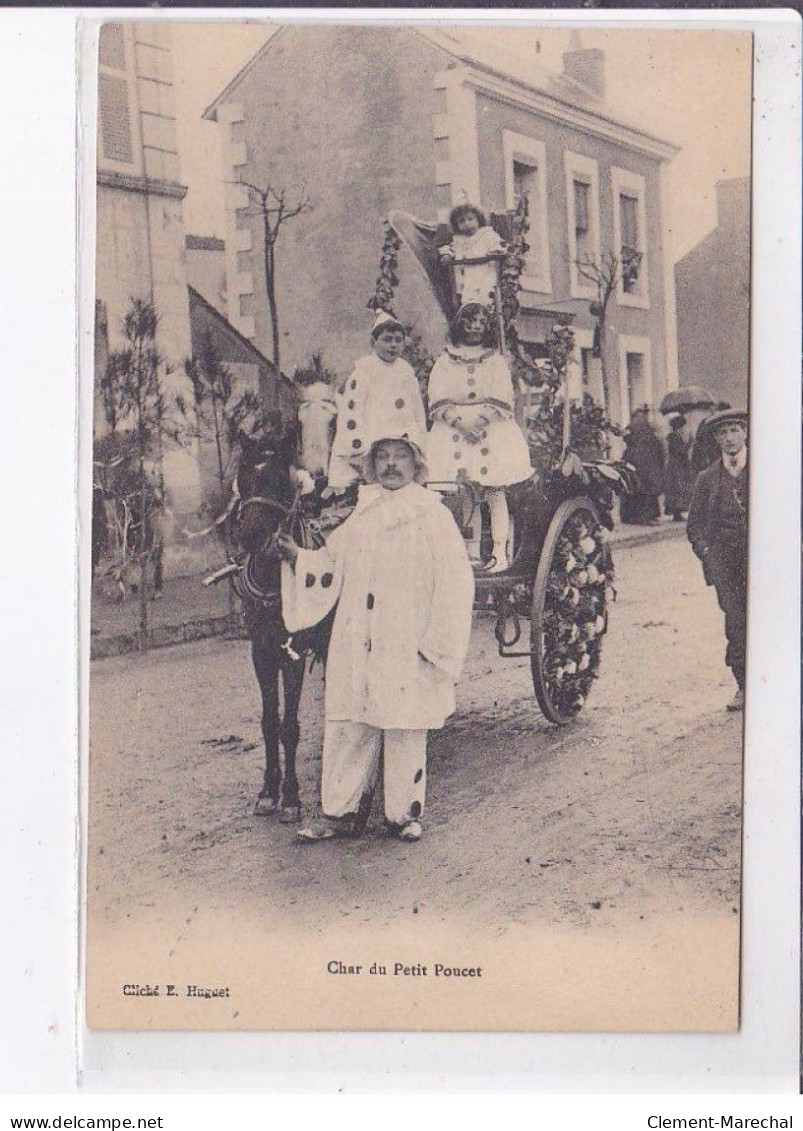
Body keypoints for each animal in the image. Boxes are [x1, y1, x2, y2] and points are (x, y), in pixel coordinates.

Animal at [230, 425, 332, 823]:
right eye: (243, 479)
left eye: (278, 482)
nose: (247, 536)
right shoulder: (261, 652)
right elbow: (269, 722)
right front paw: (267, 791)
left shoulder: (294, 655)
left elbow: (288, 726)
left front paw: (290, 796)